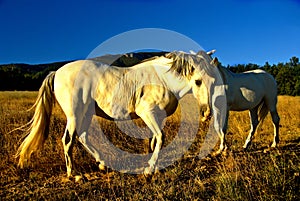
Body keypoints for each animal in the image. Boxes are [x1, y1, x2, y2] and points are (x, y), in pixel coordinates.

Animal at [15, 50, 226, 177]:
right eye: (198, 81)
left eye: (214, 80)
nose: (207, 113)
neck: (163, 79)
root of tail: (56, 72)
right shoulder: (147, 112)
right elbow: (160, 138)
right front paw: (149, 169)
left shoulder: (158, 117)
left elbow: (155, 140)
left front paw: (152, 164)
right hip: (74, 115)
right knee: (68, 140)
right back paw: (74, 175)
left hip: (86, 114)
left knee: (82, 137)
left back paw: (102, 164)